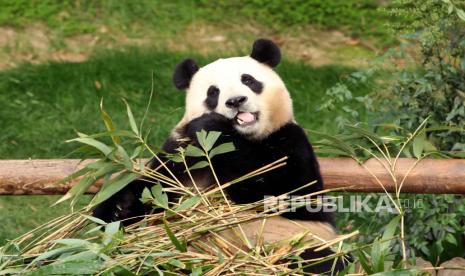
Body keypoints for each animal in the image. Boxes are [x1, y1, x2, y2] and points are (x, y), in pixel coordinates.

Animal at [94, 38, 346, 274]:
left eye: (248, 80)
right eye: (213, 92)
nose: (235, 101)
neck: (246, 137)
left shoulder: (290, 140)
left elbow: (288, 193)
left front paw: (212, 127)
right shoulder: (180, 154)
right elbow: (154, 187)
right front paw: (118, 208)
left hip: (302, 242)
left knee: (320, 260)